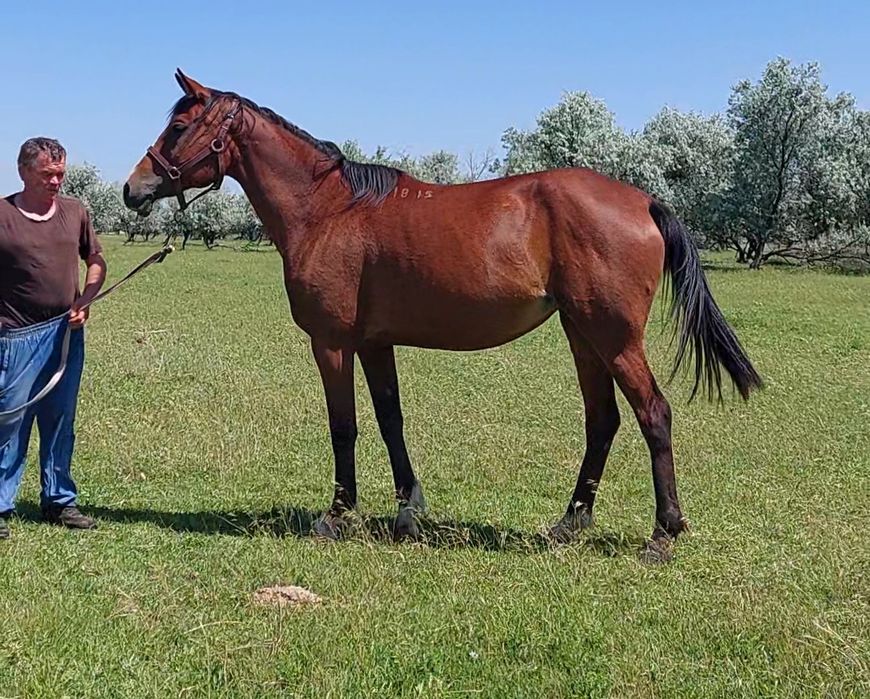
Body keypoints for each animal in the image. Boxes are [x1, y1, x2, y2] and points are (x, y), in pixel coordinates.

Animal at [123, 70, 762, 560]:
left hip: (614, 337)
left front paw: (337, 514)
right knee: (602, 420)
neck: (329, 210)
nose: (133, 189)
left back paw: (662, 534)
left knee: (654, 414)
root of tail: (644, 201)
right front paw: (407, 510)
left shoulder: (332, 342)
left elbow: (344, 426)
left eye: (178, 127)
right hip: (583, 333)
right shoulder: (374, 343)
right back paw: (568, 524)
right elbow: (390, 420)